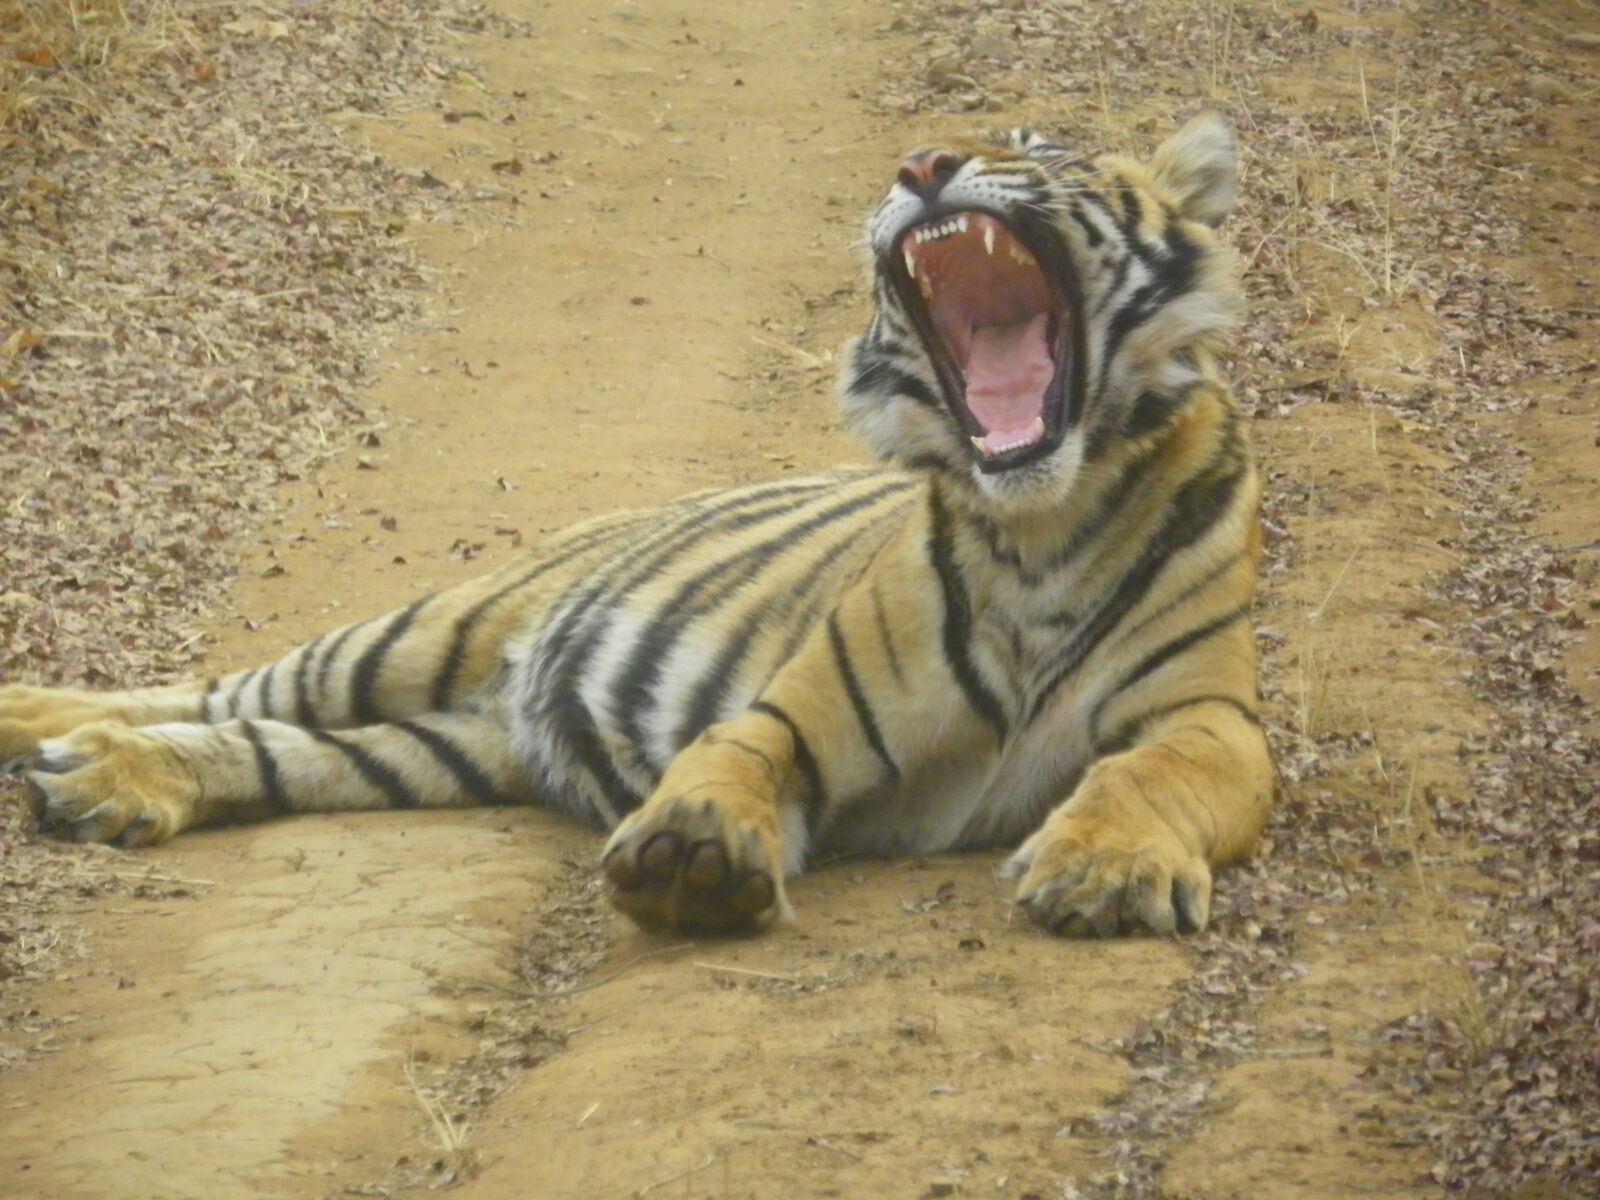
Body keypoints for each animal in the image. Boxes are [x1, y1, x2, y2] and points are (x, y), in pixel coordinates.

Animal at [0, 111, 1271, 939]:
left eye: (1045, 151)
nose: (921, 166)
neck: (1038, 522)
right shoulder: (796, 704)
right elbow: (733, 752)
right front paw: (695, 846)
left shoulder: (1212, 719)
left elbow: (1143, 776)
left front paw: (1103, 868)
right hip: (420, 634)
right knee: (216, 690)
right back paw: (43, 730)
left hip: (440, 745)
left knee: (266, 745)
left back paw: (100, 782)